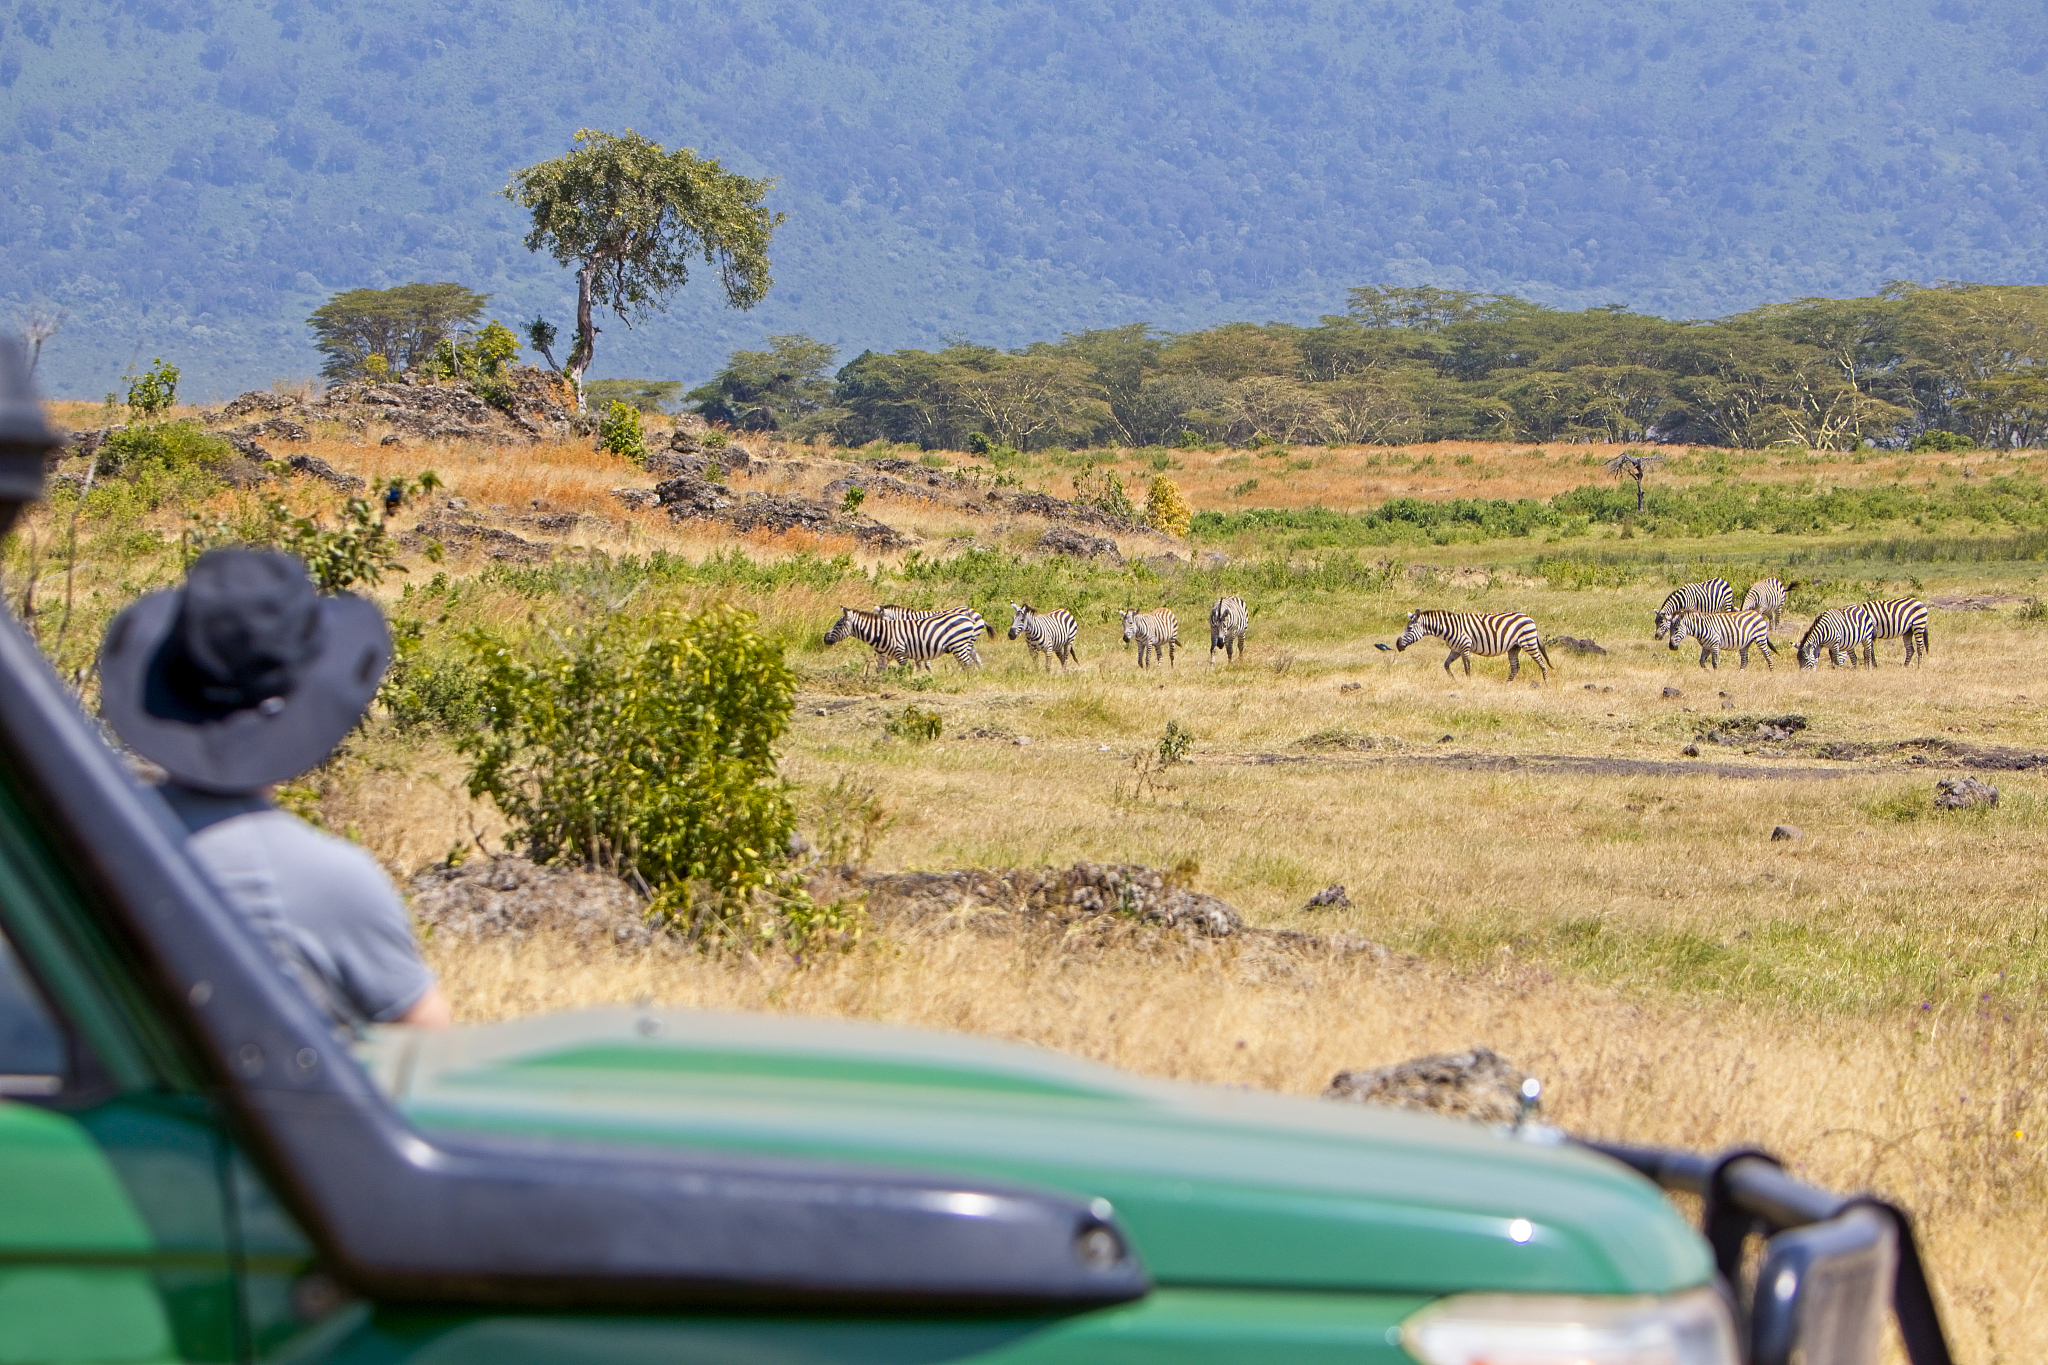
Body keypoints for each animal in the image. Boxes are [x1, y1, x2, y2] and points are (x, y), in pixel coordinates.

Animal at [824, 606, 984, 671]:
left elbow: (906, 672)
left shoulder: (904, 652)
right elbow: (880, 673)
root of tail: (968, 616)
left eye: (839, 624)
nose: (825, 638)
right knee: (974, 660)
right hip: (966, 644)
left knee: (968, 663)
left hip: (960, 645)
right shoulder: (883, 657)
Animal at [1395, 609, 1551, 682]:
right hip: (1514, 647)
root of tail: (1529, 618)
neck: (1449, 628)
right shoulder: (1455, 650)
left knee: (1542, 663)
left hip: (1529, 643)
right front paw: (1454, 681)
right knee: (1515, 667)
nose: (1397, 644)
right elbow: (1446, 665)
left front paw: (1468, 683)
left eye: (1409, 628)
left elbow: (1467, 668)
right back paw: (1506, 684)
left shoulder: (1465, 647)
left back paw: (1546, 684)